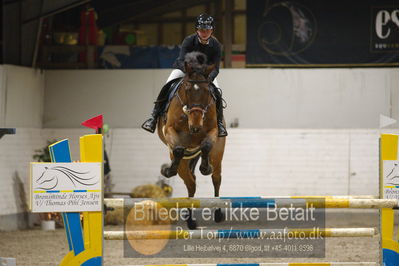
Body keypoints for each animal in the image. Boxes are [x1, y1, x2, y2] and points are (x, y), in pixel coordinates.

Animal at [157, 51, 227, 229]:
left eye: (207, 91)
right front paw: (168, 170)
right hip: (184, 163)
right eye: (187, 89)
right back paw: (190, 221)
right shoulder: (169, 130)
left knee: (216, 178)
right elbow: (178, 149)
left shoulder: (213, 131)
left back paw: (217, 213)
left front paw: (205, 167)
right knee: (190, 183)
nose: (195, 125)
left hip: (218, 155)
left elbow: (206, 144)